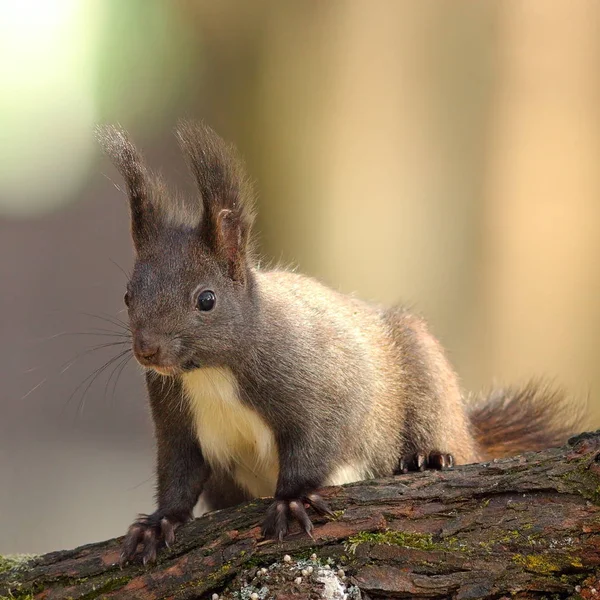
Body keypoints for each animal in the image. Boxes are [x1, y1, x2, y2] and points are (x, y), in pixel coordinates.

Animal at [96, 120, 584, 564]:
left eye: (206, 299)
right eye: (127, 295)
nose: (147, 350)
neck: (213, 371)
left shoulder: (320, 386)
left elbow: (318, 442)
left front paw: (291, 500)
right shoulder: (176, 419)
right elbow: (179, 475)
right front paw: (159, 523)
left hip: (428, 377)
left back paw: (429, 457)